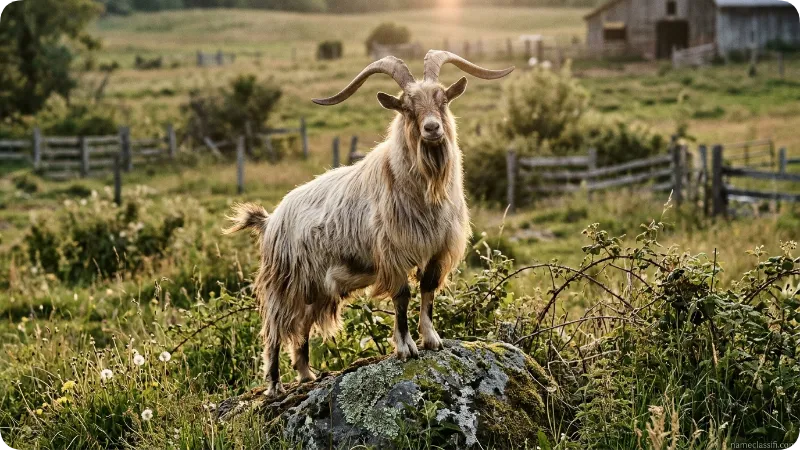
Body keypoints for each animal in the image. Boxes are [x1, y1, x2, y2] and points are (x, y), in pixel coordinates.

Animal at [224, 51, 514, 395]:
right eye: (406, 107)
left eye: (442, 99)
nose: (432, 128)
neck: (424, 192)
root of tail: (270, 220)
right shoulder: (393, 253)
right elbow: (402, 296)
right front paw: (405, 348)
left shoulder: (437, 250)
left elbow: (428, 291)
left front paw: (432, 339)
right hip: (283, 282)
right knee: (273, 330)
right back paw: (274, 386)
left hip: (313, 287)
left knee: (302, 327)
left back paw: (307, 375)